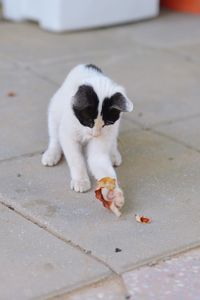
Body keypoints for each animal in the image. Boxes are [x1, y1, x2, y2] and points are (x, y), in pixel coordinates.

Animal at [41, 63, 134, 209]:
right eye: (88, 121)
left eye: (107, 123)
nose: (95, 134)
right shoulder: (68, 133)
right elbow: (76, 158)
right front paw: (80, 181)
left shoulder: (109, 129)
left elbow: (99, 160)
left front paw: (114, 194)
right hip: (55, 108)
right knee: (55, 133)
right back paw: (52, 154)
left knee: (112, 139)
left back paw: (113, 154)